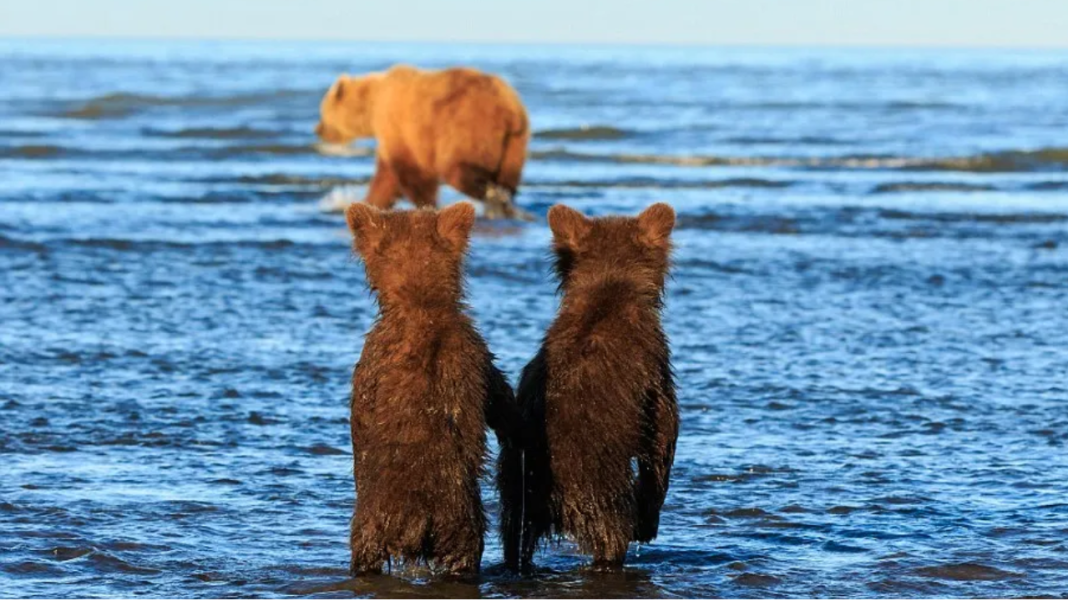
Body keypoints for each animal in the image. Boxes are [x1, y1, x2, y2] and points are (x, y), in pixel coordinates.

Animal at [316, 66, 534, 220]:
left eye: (323, 112)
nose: (318, 129)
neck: (372, 105)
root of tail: (511, 112)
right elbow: (385, 178)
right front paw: (370, 202)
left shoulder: (403, 128)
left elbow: (412, 174)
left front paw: (428, 205)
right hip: (515, 145)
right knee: (509, 178)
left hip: (467, 125)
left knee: (456, 168)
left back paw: (492, 196)